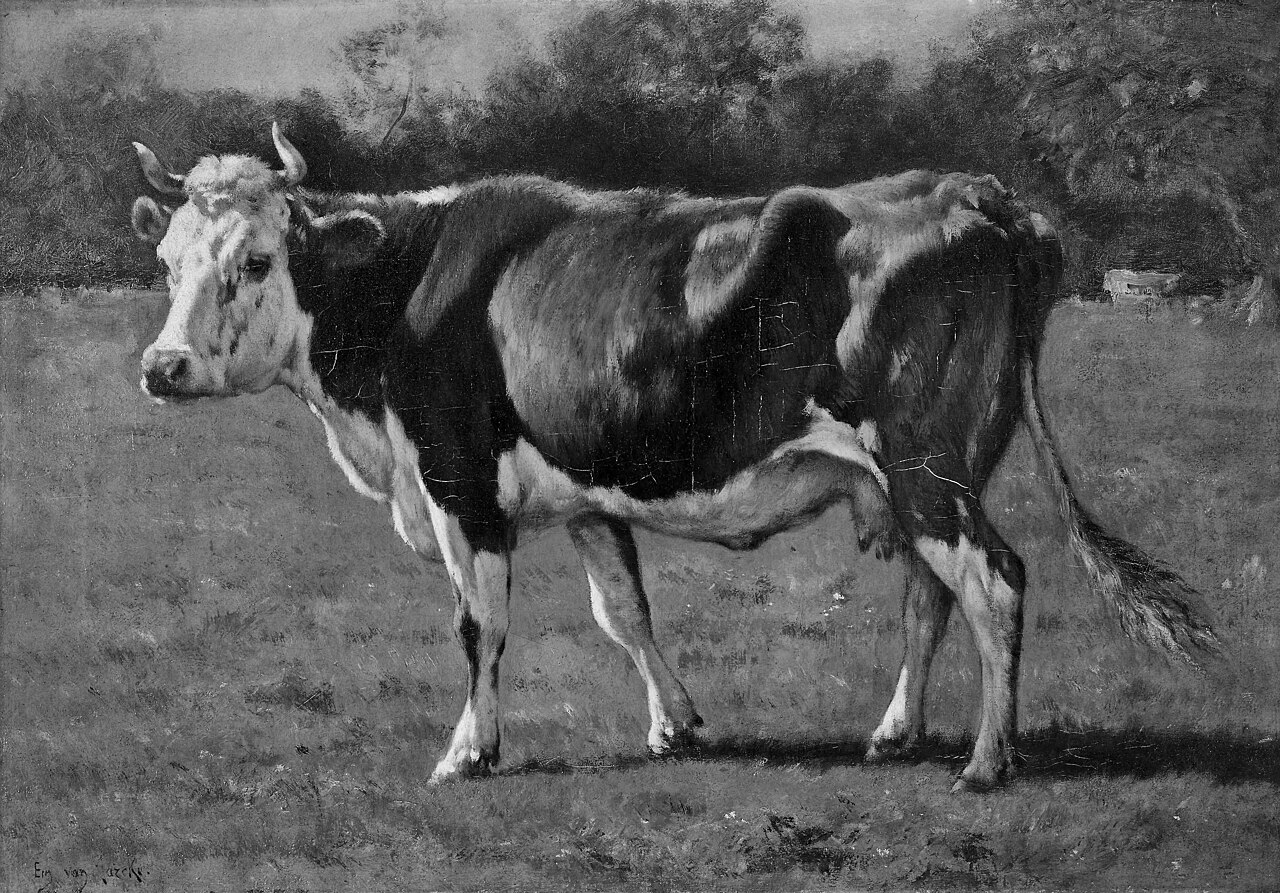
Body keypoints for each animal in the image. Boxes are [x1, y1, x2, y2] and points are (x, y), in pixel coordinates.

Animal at [129, 125, 1218, 793]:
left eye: (257, 260)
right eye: (169, 262)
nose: (161, 366)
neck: (406, 290)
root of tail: (972, 190)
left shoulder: (457, 482)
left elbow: (478, 626)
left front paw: (468, 752)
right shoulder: (584, 495)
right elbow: (623, 611)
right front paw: (674, 723)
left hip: (924, 464)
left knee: (994, 583)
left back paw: (988, 761)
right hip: (918, 481)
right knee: (931, 594)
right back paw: (895, 731)